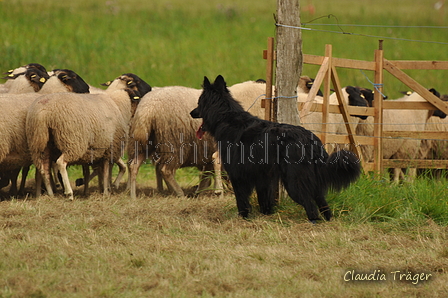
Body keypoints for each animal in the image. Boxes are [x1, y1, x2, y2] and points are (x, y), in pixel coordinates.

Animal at [190, 75, 360, 221]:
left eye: (199, 102)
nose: (191, 112)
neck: (227, 117)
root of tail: (310, 139)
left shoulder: (238, 176)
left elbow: (242, 200)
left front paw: (243, 217)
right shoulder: (263, 177)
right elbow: (264, 200)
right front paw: (266, 215)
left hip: (293, 182)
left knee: (311, 206)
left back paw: (313, 221)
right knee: (323, 203)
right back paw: (328, 220)